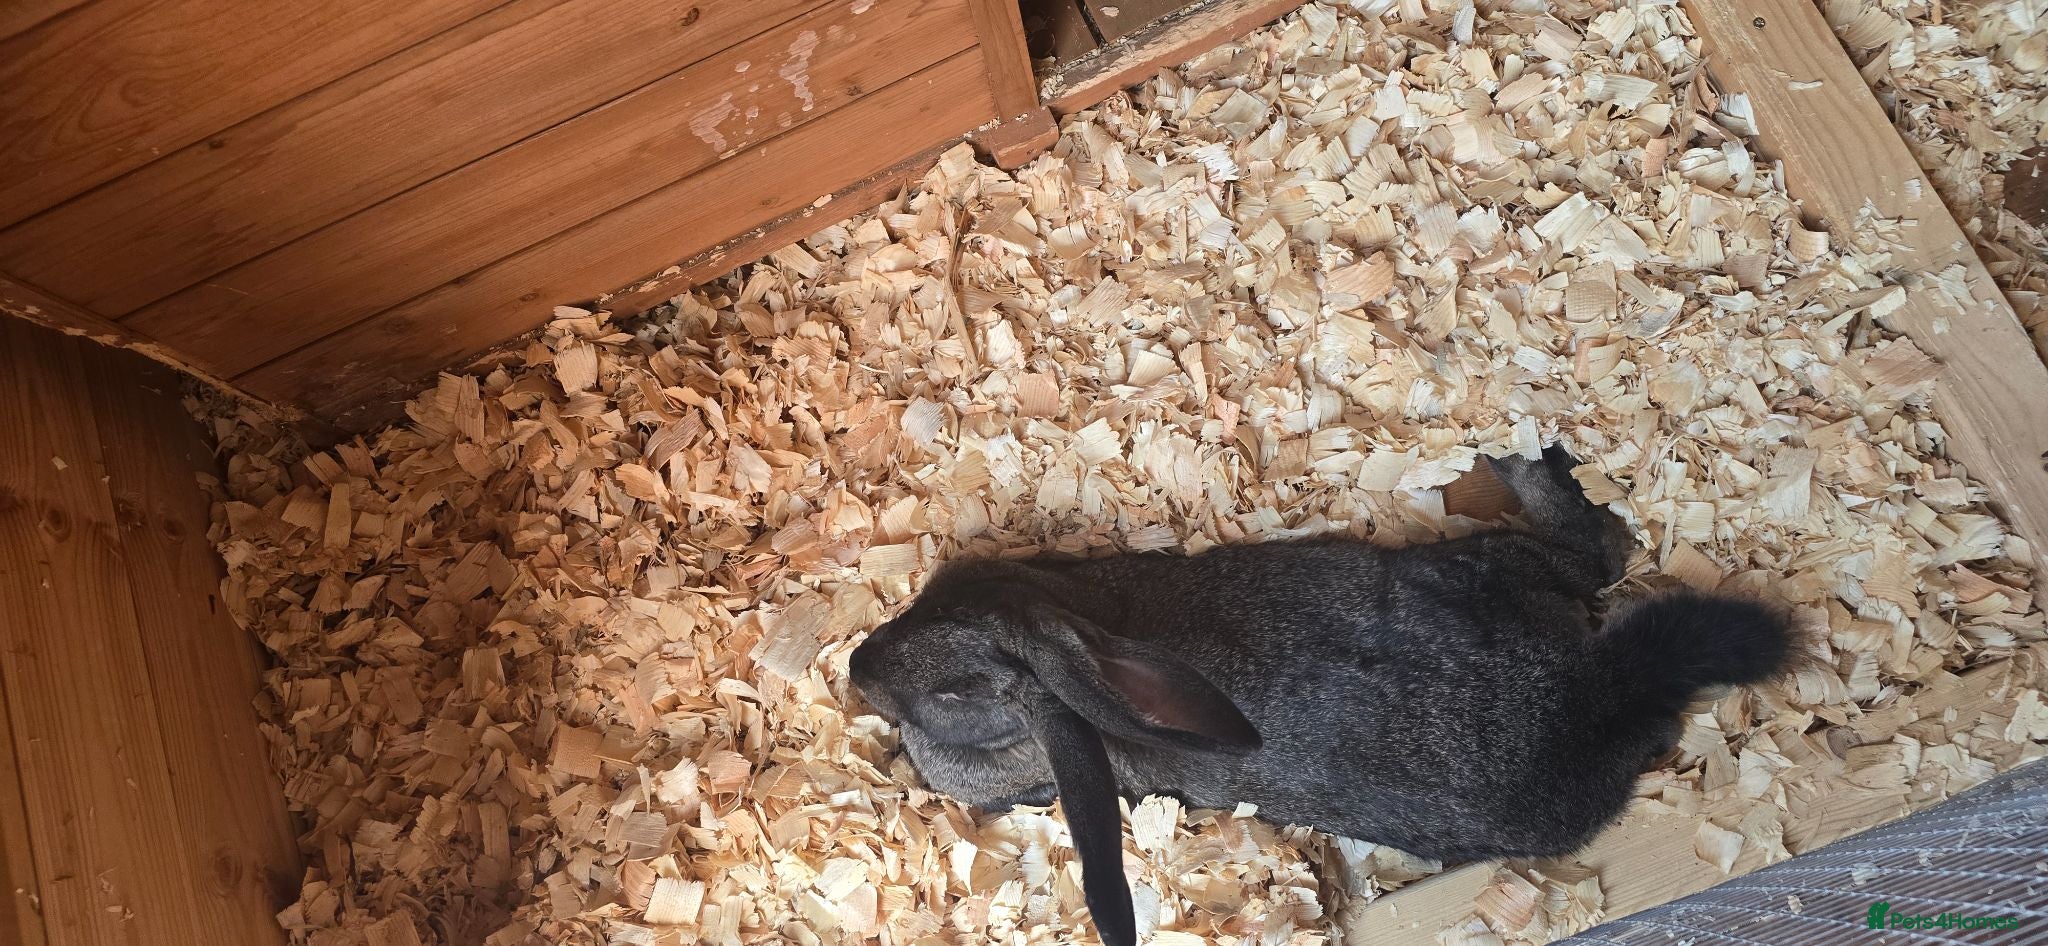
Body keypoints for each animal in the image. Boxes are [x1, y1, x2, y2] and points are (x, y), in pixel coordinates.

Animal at [847, 446, 1798, 946]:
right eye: (941, 589)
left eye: (953, 696)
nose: (859, 668)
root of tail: (1602, 692)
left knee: (1592, 548)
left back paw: (1522, 464)